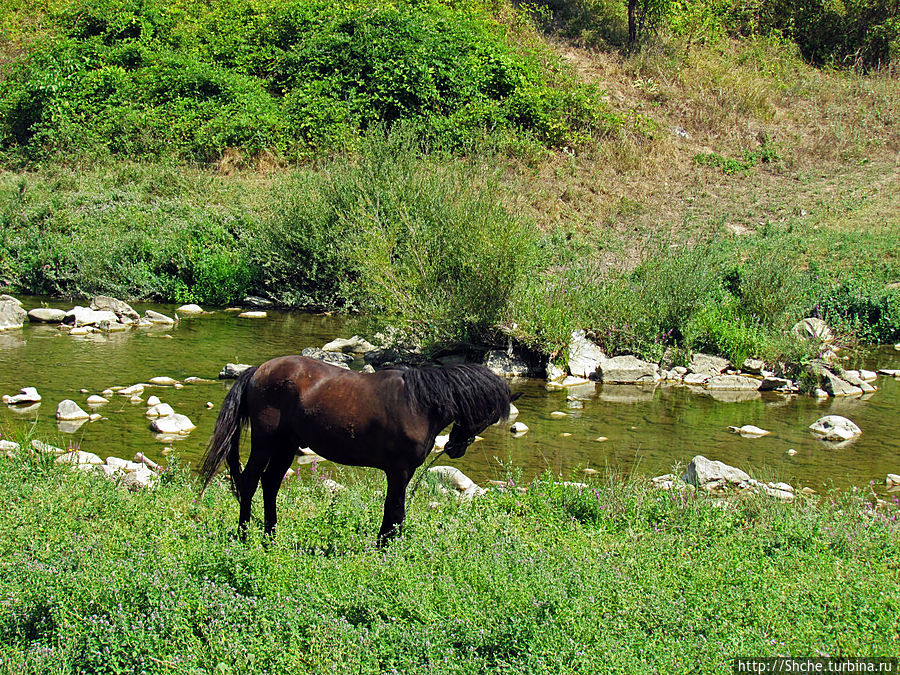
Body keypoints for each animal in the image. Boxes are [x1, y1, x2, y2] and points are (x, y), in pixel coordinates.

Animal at [200, 356, 516, 548]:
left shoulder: (404, 472)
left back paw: (271, 535)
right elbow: (395, 509)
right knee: (249, 482)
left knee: (270, 483)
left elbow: (395, 510)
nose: (455, 449)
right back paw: (244, 535)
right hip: (266, 442)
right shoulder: (399, 470)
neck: (418, 403)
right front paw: (385, 547)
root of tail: (258, 370)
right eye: (486, 415)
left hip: (285, 446)